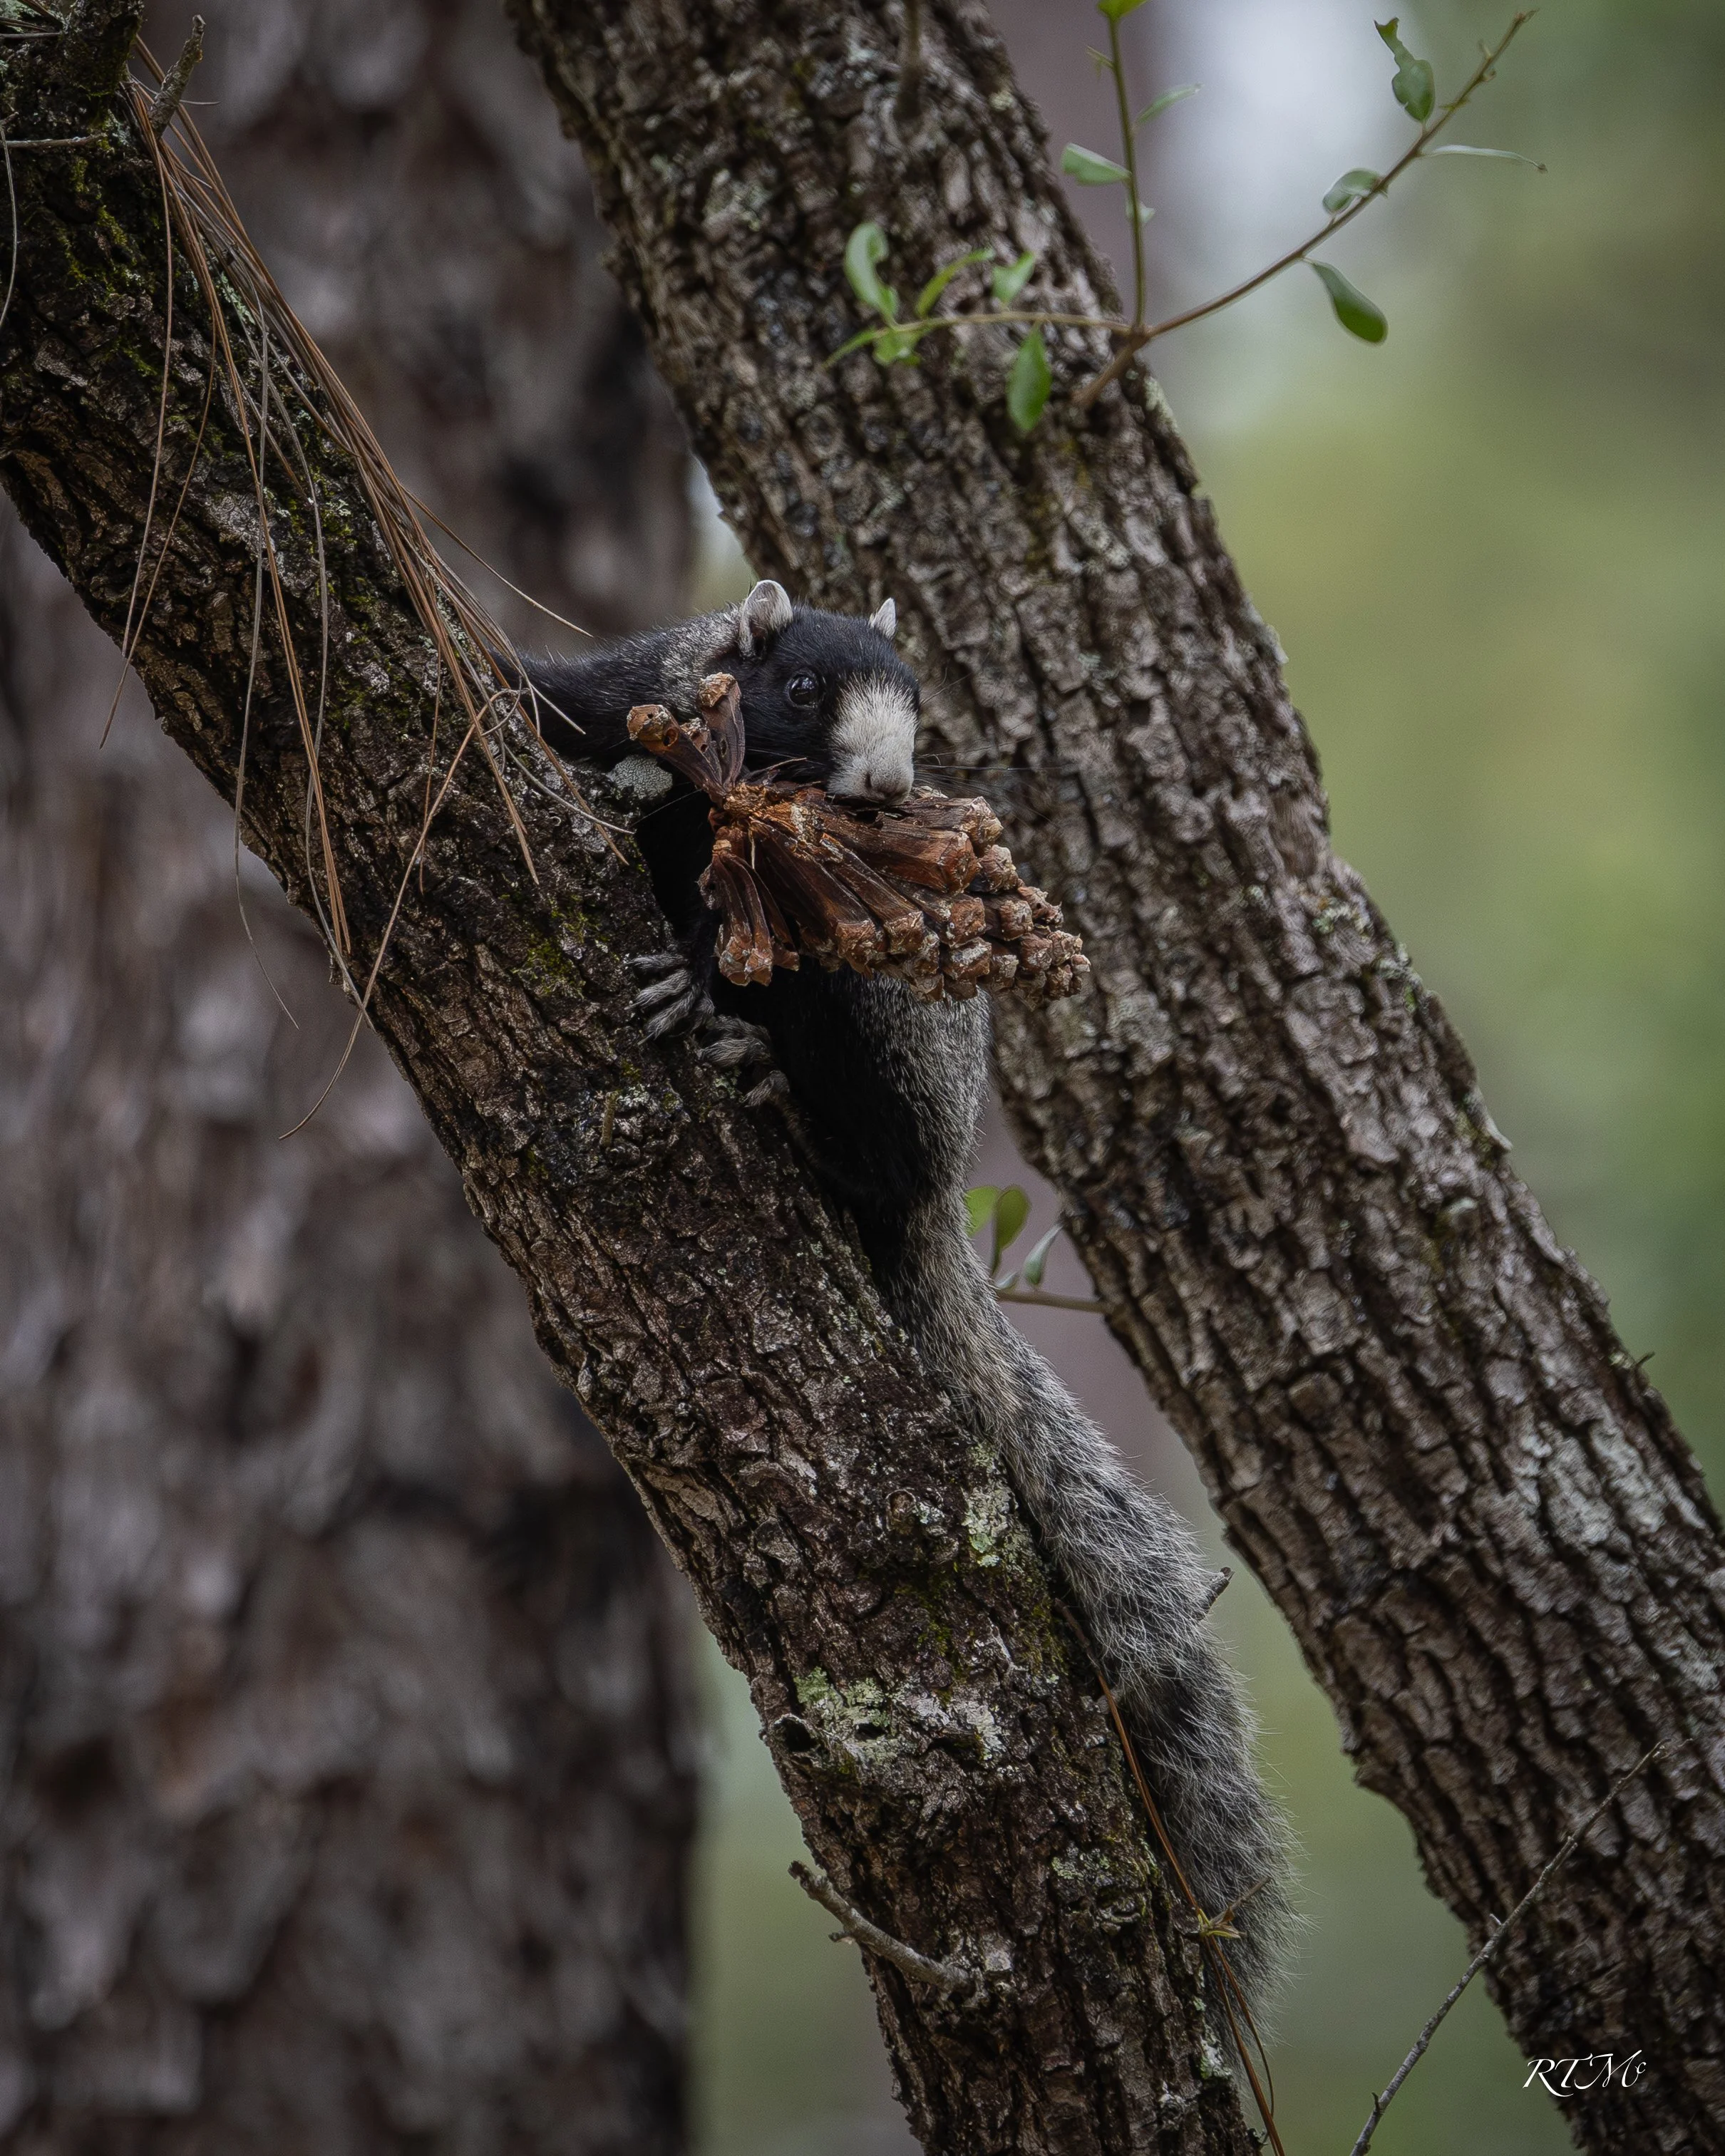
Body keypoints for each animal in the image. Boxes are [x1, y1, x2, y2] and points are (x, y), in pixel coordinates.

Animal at [522, 579, 1293, 2014]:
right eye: (804, 688)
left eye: (919, 701)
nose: (885, 788)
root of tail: (939, 1208)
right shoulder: (619, 695)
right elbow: (546, 700)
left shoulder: (773, 908)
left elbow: (728, 941)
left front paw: (698, 982)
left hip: (873, 1043)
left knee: (866, 1141)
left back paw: (780, 1091)